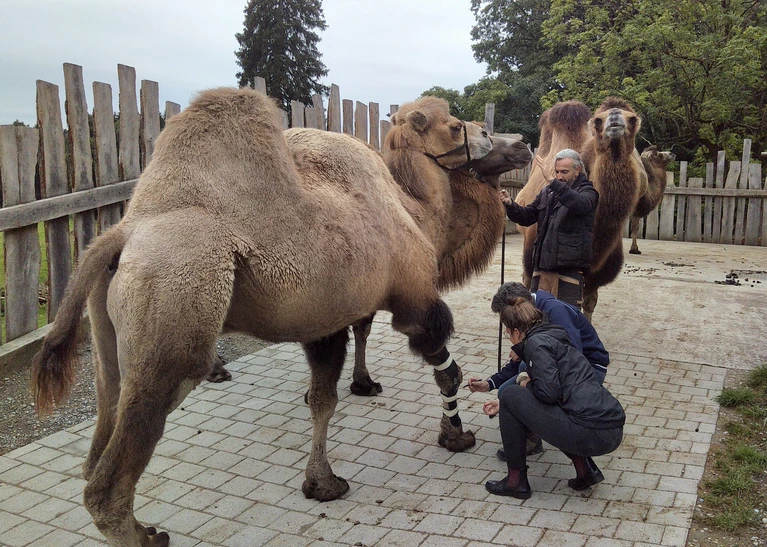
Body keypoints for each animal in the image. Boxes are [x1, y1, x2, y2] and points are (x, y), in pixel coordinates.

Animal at [30, 89, 497, 547]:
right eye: (455, 125)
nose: (489, 135)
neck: (414, 211)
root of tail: (122, 232)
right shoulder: (414, 298)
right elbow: (446, 370)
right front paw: (455, 434)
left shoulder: (327, 319)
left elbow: (323, 400)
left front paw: (321, 479)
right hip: (172, 316)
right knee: (108, 481)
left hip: (108, 339)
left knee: (98, 433)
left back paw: (143, 525)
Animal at [514, 98, 646, 320]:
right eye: (598, 120)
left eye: (633, 118)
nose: (615, 118)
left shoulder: (595, 275)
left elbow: (588, 303)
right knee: (525, 281)